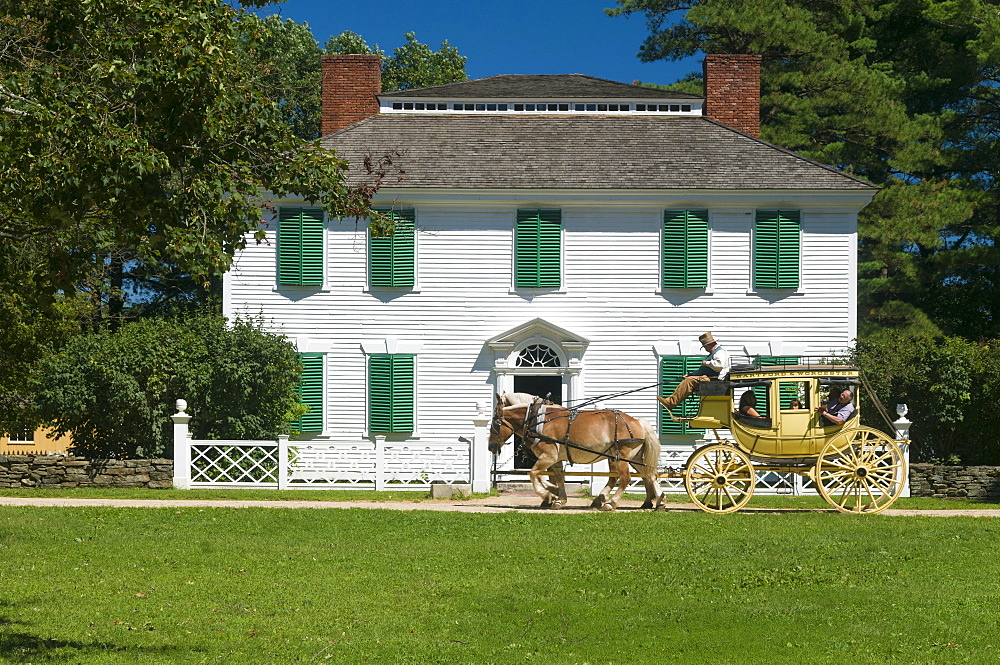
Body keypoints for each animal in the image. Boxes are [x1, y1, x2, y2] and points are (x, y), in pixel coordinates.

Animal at [486, 392, 660, 510]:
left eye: (495, 422)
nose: (490, 447)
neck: (537, 419)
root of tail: (637, 421)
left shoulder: (548, 456)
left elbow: (534, 474)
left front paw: (548, 495)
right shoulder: (555, 459)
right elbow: (557, 477)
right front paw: (558, 498)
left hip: (621, 456)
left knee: (625, 478)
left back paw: (611, 503)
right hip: (632, 457)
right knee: (649, 475)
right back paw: (657, 501)